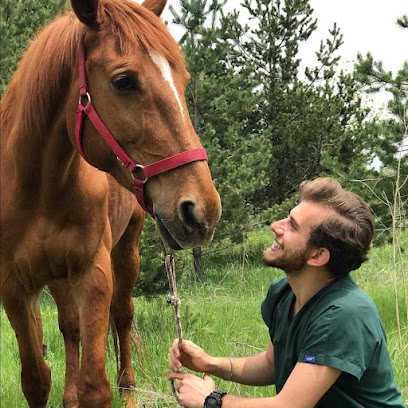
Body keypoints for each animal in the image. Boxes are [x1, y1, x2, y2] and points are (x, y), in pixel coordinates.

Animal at [0, 0, 222, 408]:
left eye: (183, 80)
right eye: (124, 81)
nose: (202, 210)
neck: (39, 189)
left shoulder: (95, 274)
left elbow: (97, 386)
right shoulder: (15, 287)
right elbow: (36, 379)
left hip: (125, 252)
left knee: (121, 320)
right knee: (71, 328)